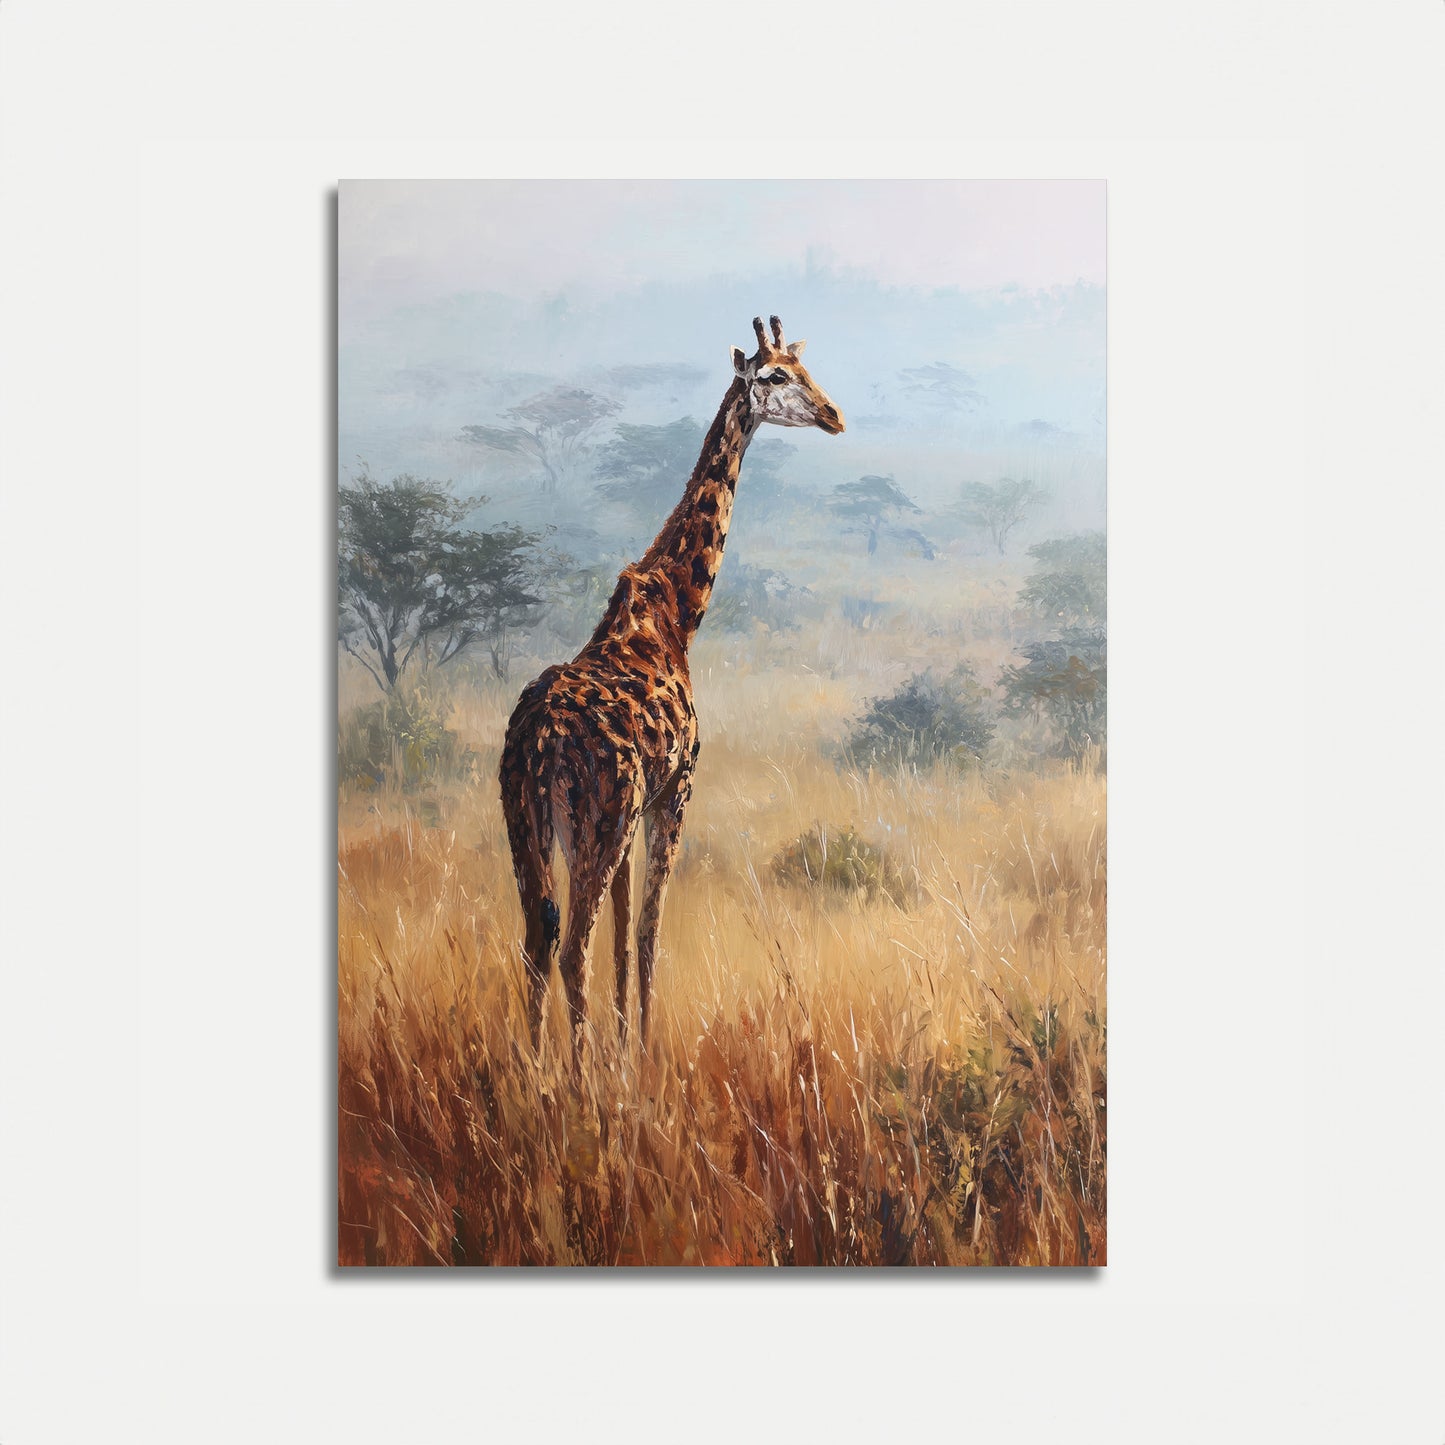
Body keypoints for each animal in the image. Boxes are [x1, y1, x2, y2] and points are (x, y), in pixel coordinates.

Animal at [499, 315, 845, 1076]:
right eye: (775, 375)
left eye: (809, 369)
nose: (834, 416)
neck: (678, 610)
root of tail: (540, 742)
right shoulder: (674, 789)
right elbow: (650, 931)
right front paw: (641, 1056)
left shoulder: (636, 811)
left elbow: (626, 931)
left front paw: (622, 1051)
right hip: (593, 819)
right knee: (571, 943)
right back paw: (572, 1081)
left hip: (526, 821)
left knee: (539, 939)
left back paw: (534, 1076)